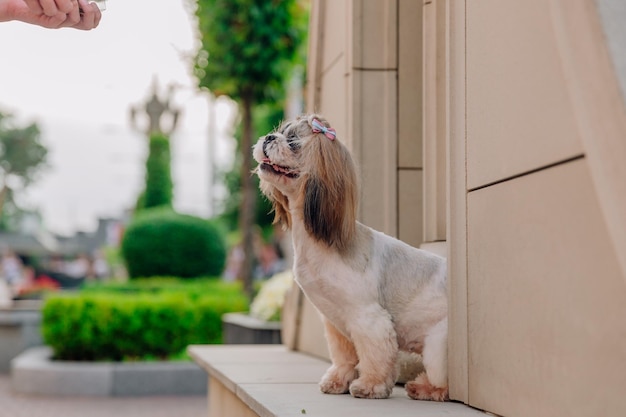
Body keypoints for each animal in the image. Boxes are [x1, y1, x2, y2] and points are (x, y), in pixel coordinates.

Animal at [251, 113, 446, 400]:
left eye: (293, 141)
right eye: (279, 132)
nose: (269, 138)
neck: (321, 243)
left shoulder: (368, 318)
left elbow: (375, 357)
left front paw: (370, 385)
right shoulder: (335, 322)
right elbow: (344, 357)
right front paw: (338, 380)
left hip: (437, 347)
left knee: (443, 381)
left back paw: (425, 387)